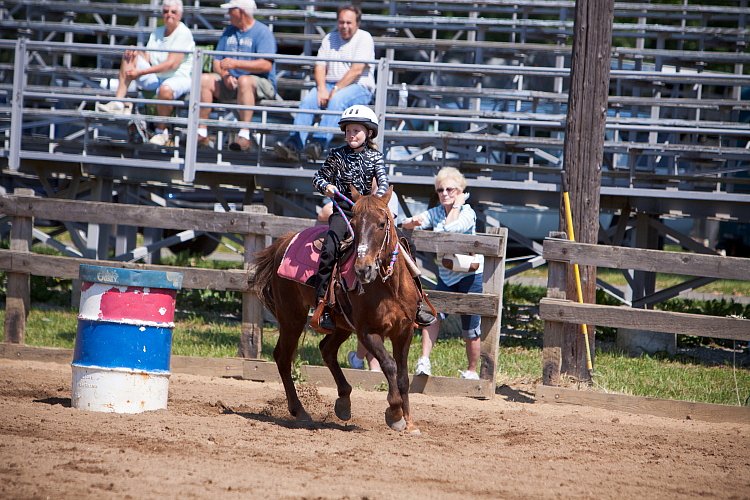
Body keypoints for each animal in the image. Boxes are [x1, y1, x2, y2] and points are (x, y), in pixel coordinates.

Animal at [253, 188, 424, 434]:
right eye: (353, 223)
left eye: (382, 224)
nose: (363, 269)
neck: (389, 287)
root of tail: (285, 240)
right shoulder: (367, 332)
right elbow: (389, 365)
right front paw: (394, 413)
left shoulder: (404, 331)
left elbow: (403, 376)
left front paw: (409, 422)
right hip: (292, 317)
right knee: (283, 357)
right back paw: (300, 411)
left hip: (340, 324)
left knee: (326, 349)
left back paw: (343, 401)